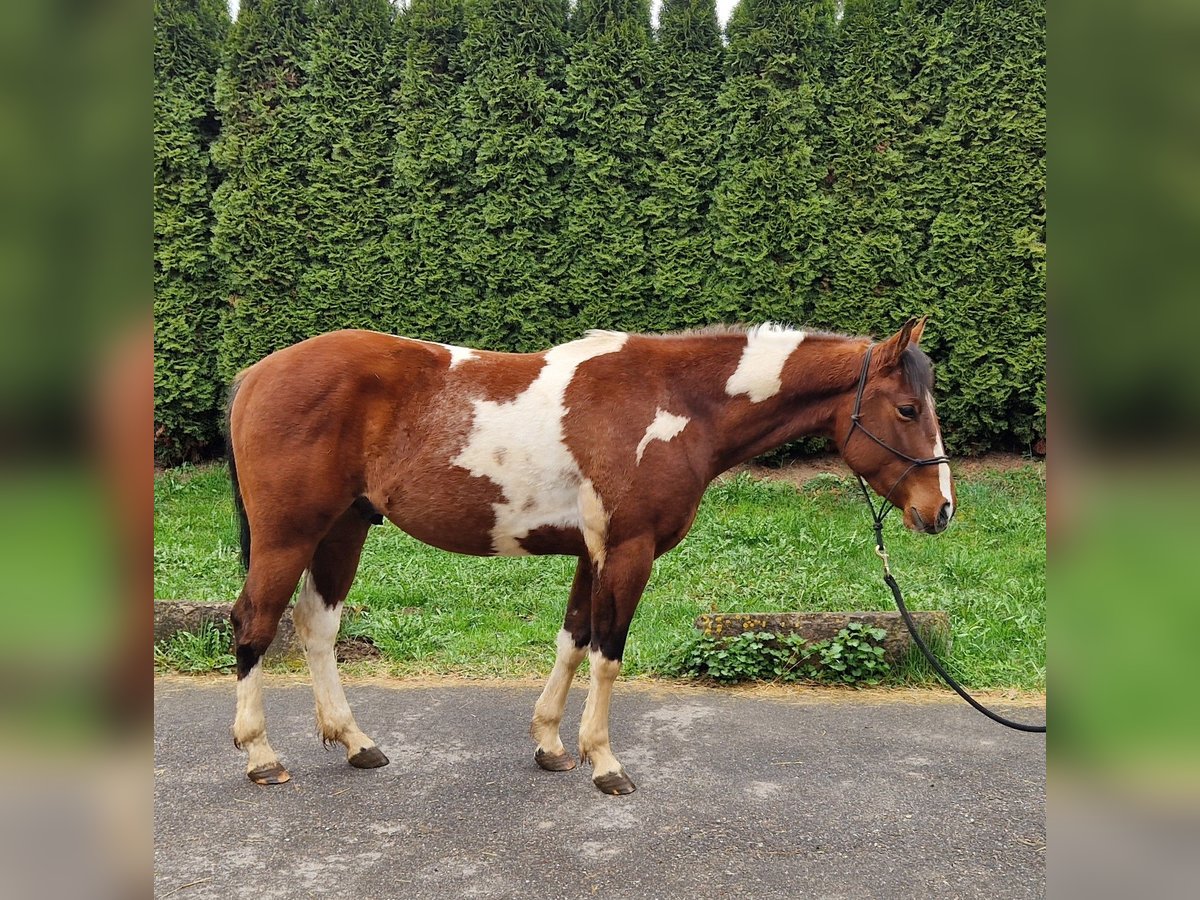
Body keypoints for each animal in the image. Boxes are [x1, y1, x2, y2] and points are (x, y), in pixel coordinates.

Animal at [225, 317, 955, 794]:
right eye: (907, 408)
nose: (940, 509)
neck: (674, 404)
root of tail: (256, 373)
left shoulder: (591, 553)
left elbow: (573, 641)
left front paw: (550, 743)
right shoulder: (630, 551)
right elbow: (608, 653)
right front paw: (604, 763)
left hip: (344, 529)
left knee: (317, 628)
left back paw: (355, 743)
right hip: (289, 535)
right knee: (253, 623)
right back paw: (260, 756)